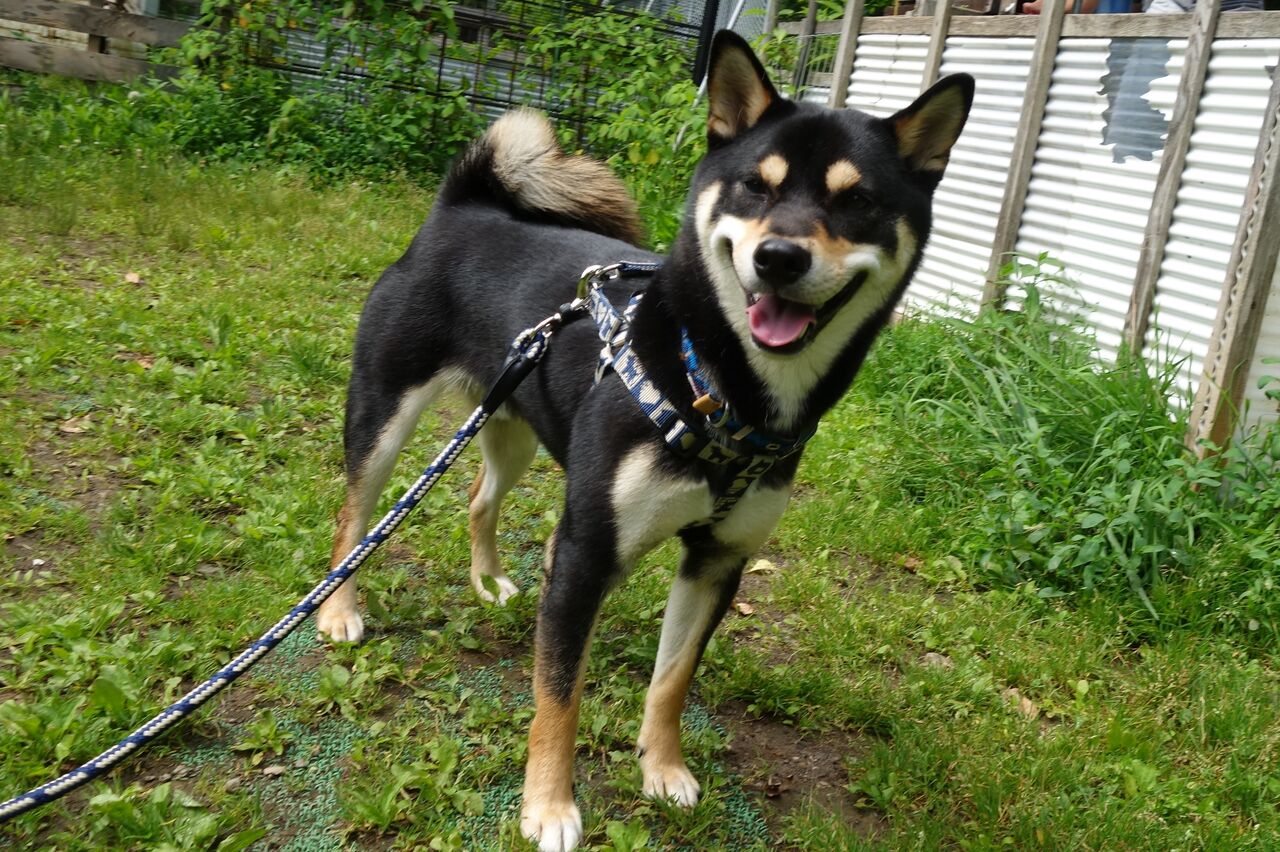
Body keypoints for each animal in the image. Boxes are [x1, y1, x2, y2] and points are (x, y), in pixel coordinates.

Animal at [315, 30, 973, 851]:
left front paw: (662, 770)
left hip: (514, 427)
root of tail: (459, 208)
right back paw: (338, 611)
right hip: (385, 414)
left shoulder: (719, 558)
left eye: (857, 201)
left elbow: (672, 678)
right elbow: (558, 696)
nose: (779, 258)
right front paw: (550, 808)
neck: (717, 384)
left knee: (477, 499)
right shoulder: (586, 551)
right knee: (354, 513)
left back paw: (489, 580)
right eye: (755, 187)